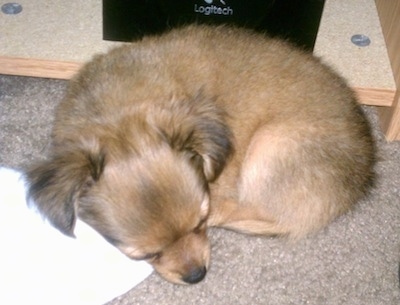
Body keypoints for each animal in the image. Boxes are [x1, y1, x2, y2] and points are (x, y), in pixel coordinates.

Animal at [25, 25, 376, 284]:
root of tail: (358, 185)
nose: (196, 276)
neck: (119, 114)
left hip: (271, 143)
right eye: (145, 255)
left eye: (200, 223)